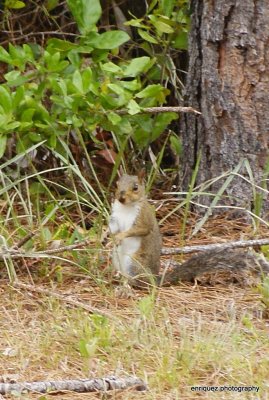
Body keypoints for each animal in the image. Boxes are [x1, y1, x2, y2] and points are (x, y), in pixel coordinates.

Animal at [108, 170, 268, 286]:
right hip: (117, 259)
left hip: (134, 263)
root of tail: (155, 278)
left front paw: (120, 236)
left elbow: (140, 230)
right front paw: (108, 236)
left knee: (140, 283)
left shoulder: (144, 219)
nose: (121, 197)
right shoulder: (115, 217)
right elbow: (112, 228)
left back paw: (127, 286)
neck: (125, 207)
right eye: (116, 184)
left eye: (135, 187)